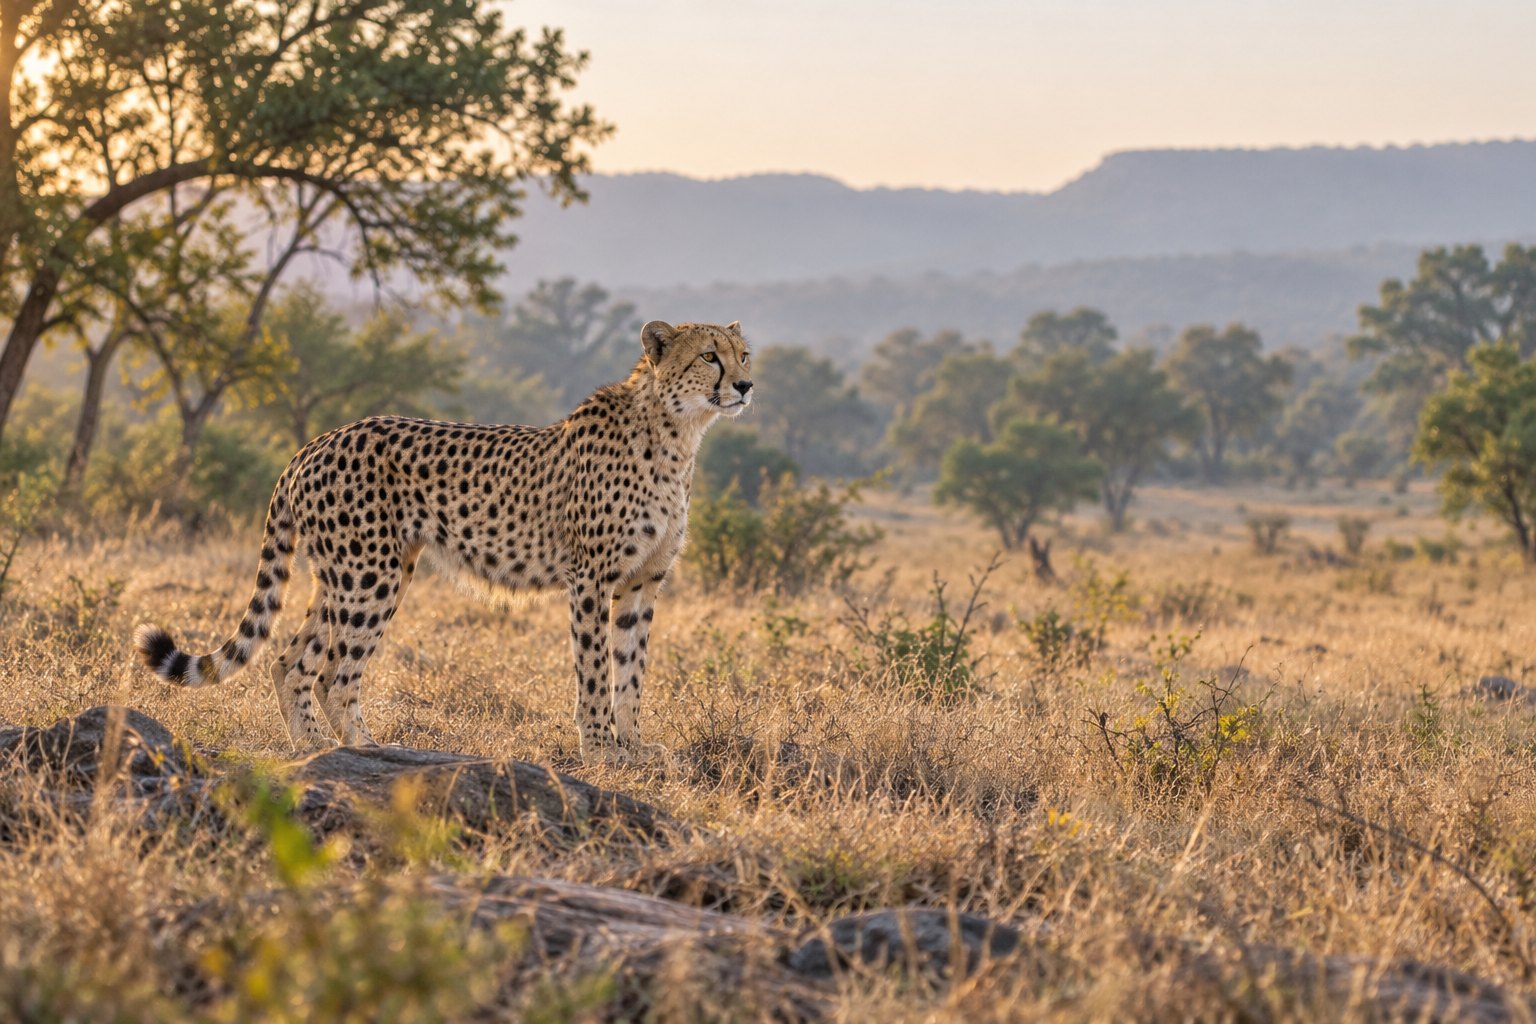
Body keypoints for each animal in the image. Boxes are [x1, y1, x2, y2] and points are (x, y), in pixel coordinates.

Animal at [133, 319, 753, 762]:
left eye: (743, 354)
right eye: (708, 356)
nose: (746, 385)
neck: (676, 433)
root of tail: (316, 442)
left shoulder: (643, 582)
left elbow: (631, 669)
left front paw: (633, 746)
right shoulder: (591, 580)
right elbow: (597, 670)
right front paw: (601, 749)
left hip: (349, 576)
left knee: (290, 661)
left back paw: (312, 747)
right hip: (369, 577)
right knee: (335, 671)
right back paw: (367, 749)